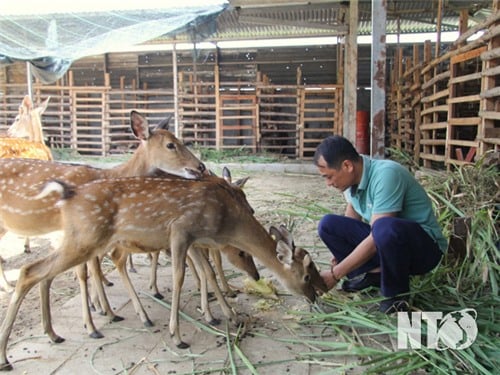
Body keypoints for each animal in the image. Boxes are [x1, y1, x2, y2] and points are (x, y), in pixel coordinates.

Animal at [0, 110, 205, 296]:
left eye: (180, 139)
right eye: (170, 145)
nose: (200, 166)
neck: (110, 174)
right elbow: (88, 269)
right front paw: (99, 307)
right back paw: (8, 287)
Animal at [0, 175, 328, 372]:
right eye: (306, 276)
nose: (317, 295)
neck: (225, 221)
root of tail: (66, 194)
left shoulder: (195, 240)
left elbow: (207, 272)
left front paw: (228, 315)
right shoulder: (181, 230)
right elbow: (183, 277)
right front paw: (178, 335)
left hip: (81, 239)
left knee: (42, 272)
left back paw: (54, 334)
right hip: (85, 238)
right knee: (29, 270)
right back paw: (8, 356)